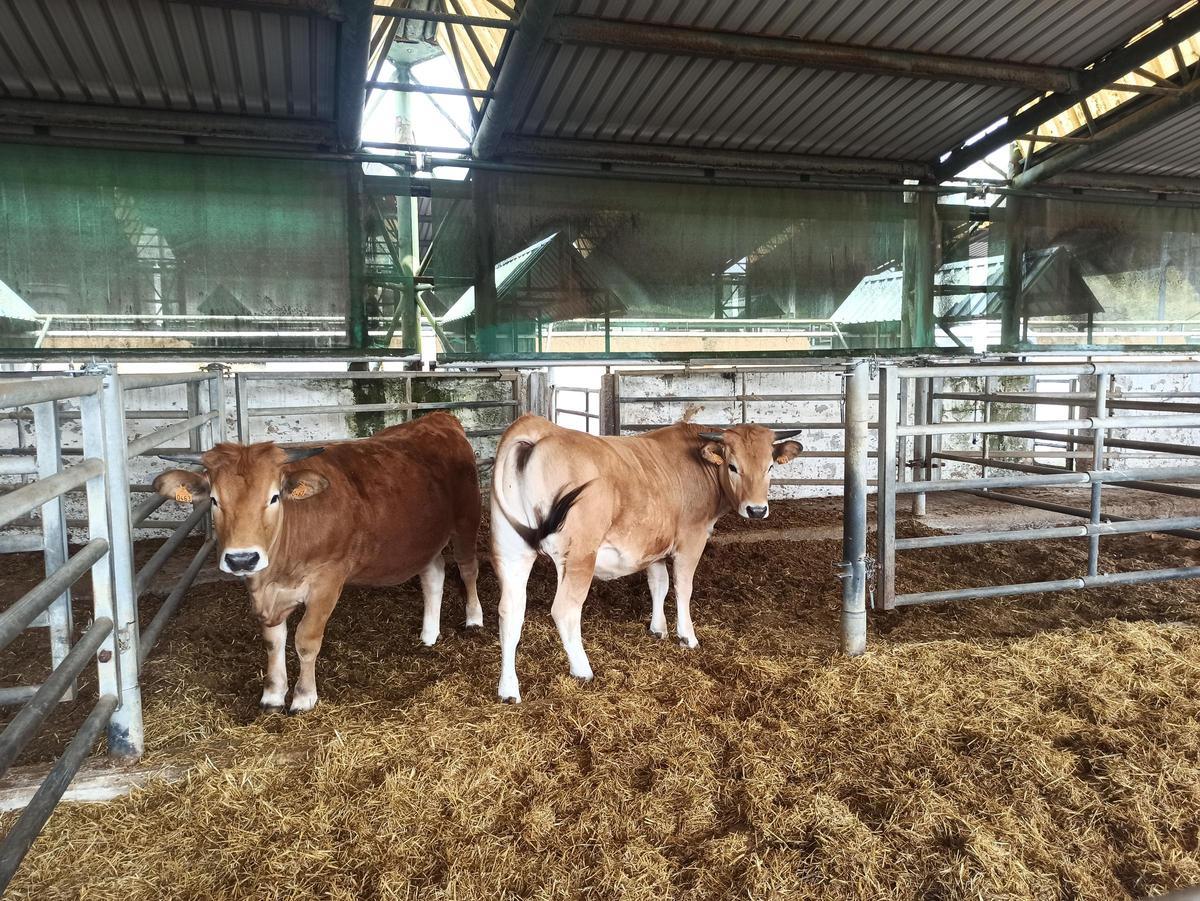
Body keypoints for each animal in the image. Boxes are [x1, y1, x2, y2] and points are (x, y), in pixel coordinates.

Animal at [152, 412, 482, 714]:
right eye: (214, 500)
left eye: (274, 497)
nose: (242, 558)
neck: (275, 574)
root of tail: (438, 418)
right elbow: (273, 640)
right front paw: (273, 694)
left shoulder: (327, 581)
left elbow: (306, 639)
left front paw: (303, 697)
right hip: (424, 541)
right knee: (434, 575)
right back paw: (429, 635)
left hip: (467, 520)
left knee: (468, 568)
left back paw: (474, 619)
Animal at [489, 414, 802, 702]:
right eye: (733, 466)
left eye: (769, 466)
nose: (757, 510)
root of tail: (541, 427)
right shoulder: (692, 539)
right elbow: (683, 587)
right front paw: (687, 636)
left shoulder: (653, 545)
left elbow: (659, 585)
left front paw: (658, 629)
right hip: (579, 556)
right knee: (564, 610)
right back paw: (582, 670)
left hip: (511, 552)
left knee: (510, 612)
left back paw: (508, 690)